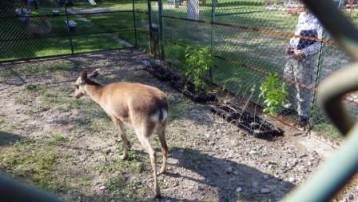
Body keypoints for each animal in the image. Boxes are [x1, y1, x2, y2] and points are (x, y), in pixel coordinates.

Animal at [73, 69, 169, 197]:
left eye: (76, 85)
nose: (75, 96)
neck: (101, 96)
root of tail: (161, 106)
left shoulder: (114, 116)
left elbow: (121, 135)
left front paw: (124, 156)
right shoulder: (122, 118)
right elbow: (124, 134)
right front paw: (129, 145)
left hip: (141, 127)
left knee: (153, 152)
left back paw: (156, 191)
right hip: (162, 126)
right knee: (165, 147)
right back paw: (163, 170)